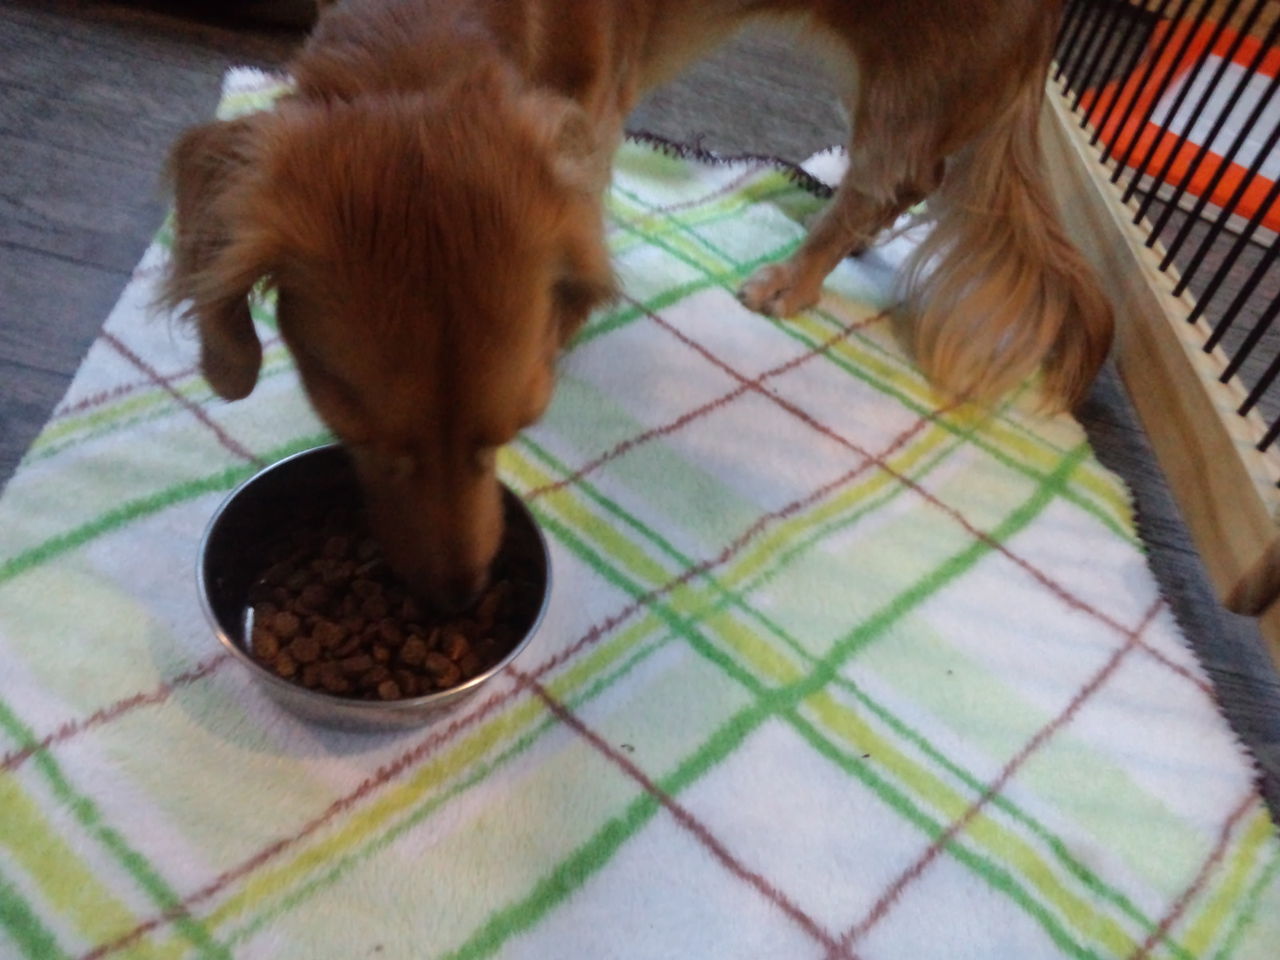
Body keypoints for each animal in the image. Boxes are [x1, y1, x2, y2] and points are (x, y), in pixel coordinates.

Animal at [164, 0, 1112, 609]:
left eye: (515, 431)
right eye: (353, 434)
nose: (455, 600)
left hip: (918, 77)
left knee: (895, 179)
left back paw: (797, 274)